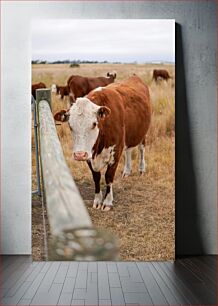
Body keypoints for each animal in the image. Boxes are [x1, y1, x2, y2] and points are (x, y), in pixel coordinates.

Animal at [54, 75, 152, 212]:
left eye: (94, 124)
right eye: (70, 125)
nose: (79, 155)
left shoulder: (116, 152)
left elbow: (108, 176)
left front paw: (107, 202)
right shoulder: (89, 154)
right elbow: (96, 177)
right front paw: (97, 200)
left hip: (142, 132)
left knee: (142, 149)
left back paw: (142, 169)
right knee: (128, 151)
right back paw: (127, 171)